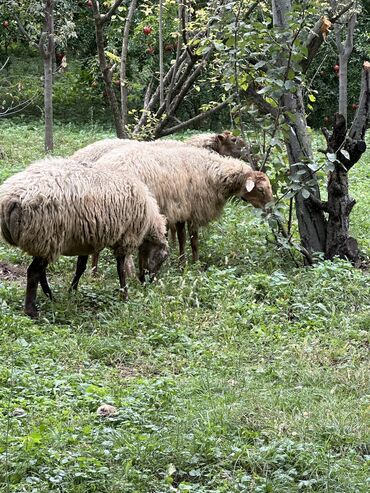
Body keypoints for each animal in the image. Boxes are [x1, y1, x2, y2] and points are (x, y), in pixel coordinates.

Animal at [0, 158, 168, 320]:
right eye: (163, 257)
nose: (148, 283)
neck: (148, 223)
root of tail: (11, 199)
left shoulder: (86, 241)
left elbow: (80, 267)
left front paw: (72, 291)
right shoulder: (126, 237)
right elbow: (120, 268)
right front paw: (124, 294)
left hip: (42, 241)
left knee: (40, 271)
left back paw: (51, 297)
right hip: (47, 236)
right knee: (34, 271)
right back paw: (32, 311)